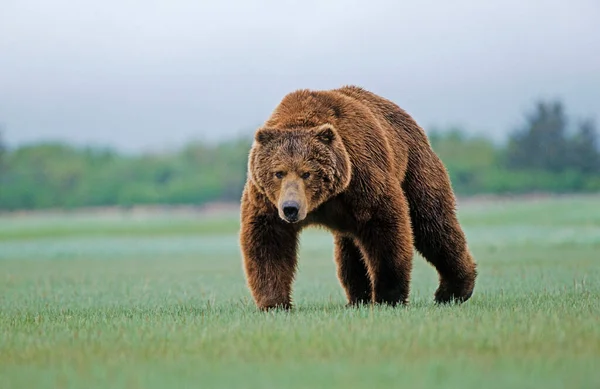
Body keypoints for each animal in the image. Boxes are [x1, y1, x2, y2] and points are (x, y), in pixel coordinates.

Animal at [239, 85, 478, 310]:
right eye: (278, 172)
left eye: (307, 173)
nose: (291, 208)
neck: (323, 201)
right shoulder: (267, 201)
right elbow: (268, 242)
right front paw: (274, 302)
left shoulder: (362, 179)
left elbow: (386, 230)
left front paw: (388, 297)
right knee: (350, 252)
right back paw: (357, 298)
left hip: (415, 167)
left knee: (432, 224)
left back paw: (453, 290)